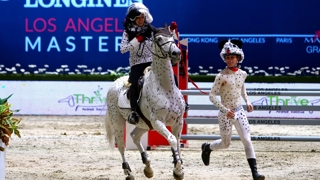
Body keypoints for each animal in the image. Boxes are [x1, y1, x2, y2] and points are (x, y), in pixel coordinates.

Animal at [105, 25, 185, 180]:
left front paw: (179, 168)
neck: (166, 88)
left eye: (172, 37)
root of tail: (113, 84)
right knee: (122, 146)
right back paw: (128, 172)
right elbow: (172, 139)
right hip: (118, 122)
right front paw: (178, 170)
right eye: (159, 39)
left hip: (145, 124)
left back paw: (147, 166)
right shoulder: (158, 122)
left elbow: (177, 143)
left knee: (134, 136)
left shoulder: (178, 121)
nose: (176, 53)